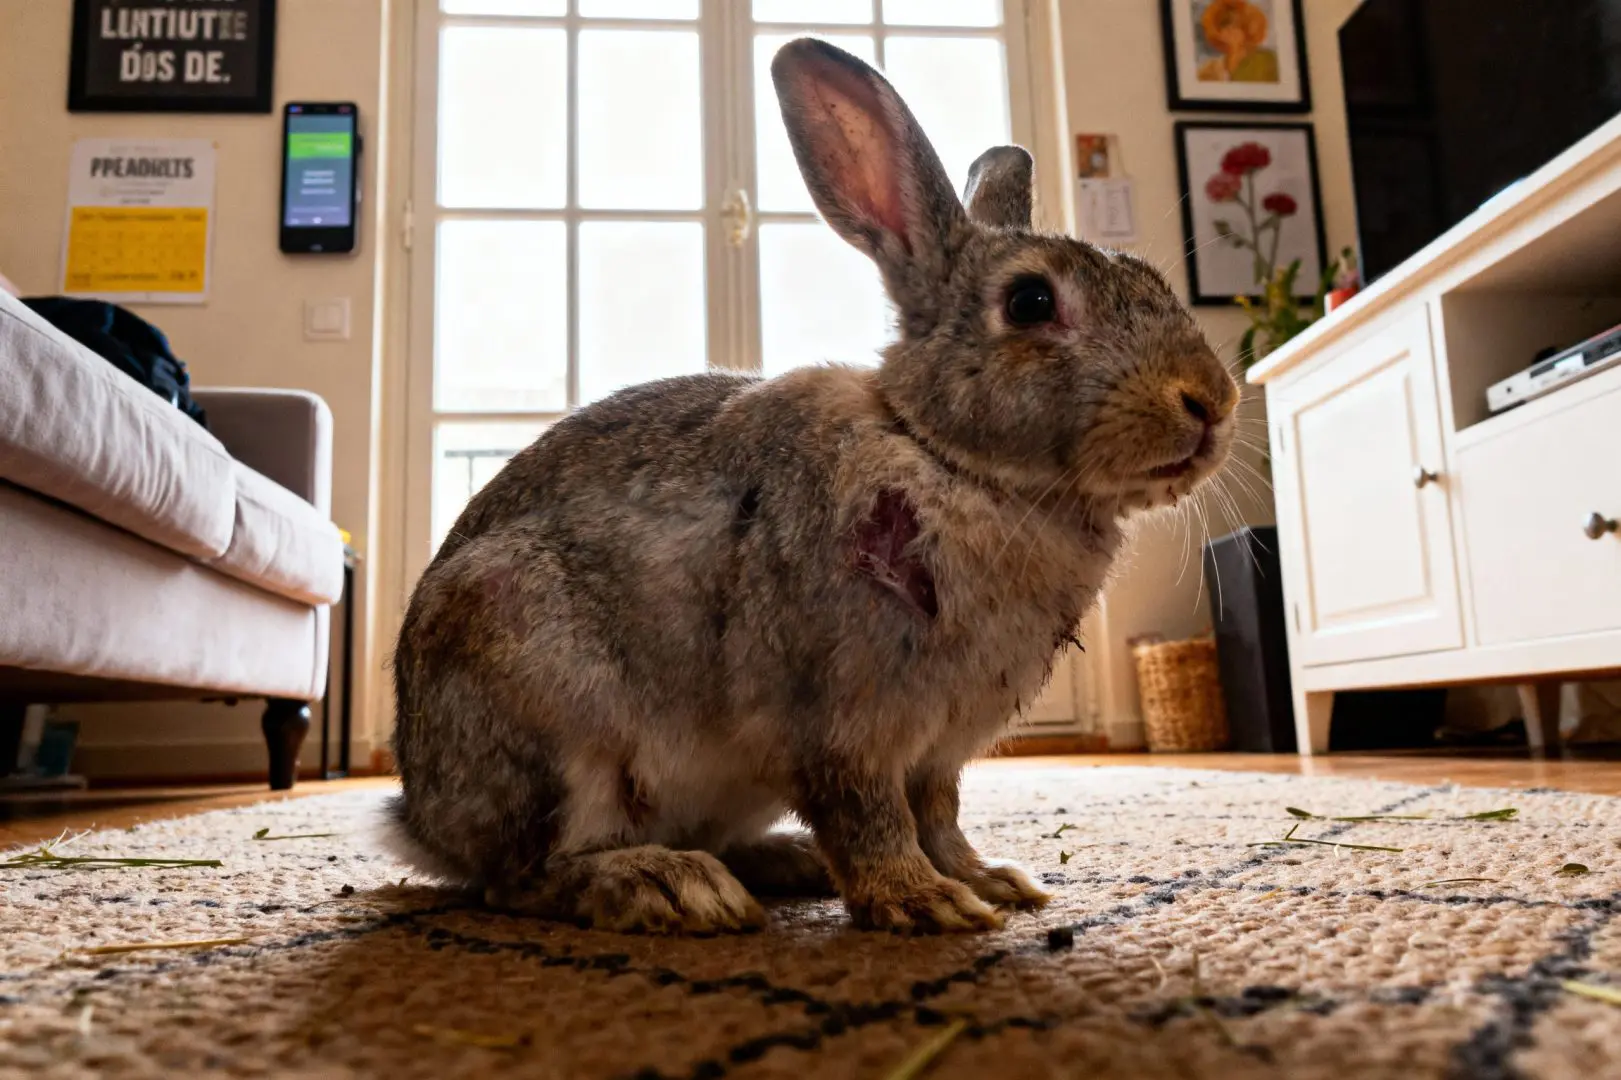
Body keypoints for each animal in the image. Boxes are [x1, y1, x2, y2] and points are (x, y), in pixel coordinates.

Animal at [386, 37, 1238, 935]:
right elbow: (870, 814)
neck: (945, 457)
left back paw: (781, 864)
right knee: (522, 877)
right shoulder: (842, 721)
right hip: (549, 713)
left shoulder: (937, 751)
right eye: (1031, 300)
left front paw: (993, 882)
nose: (1211, 401)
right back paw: (669, 885)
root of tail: (422, 818)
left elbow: (940, 814)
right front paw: (924, 903)